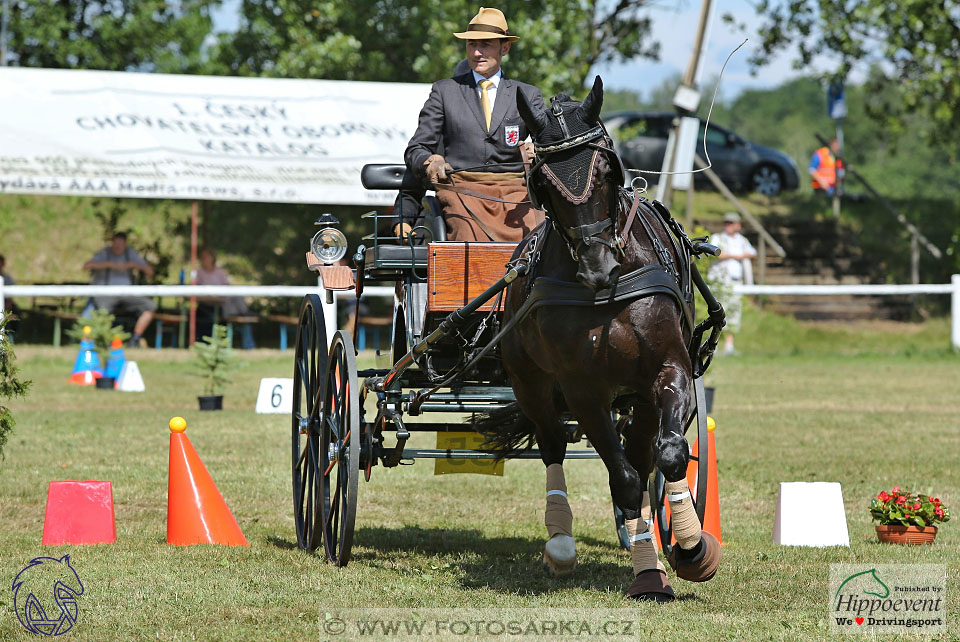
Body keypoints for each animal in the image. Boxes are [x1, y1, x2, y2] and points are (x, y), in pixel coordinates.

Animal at [480, 77, 720, 596]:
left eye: (606, 170)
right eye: (544, 182)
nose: (597, 266)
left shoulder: (668, 371)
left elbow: (669, 454)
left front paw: (689, 549)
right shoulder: (583, 390)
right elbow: (623, 477)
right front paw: (650, 568)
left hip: (634, 398)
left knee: (644, 453)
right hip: (531, 384)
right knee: (553, 446)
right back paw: (562, 544)